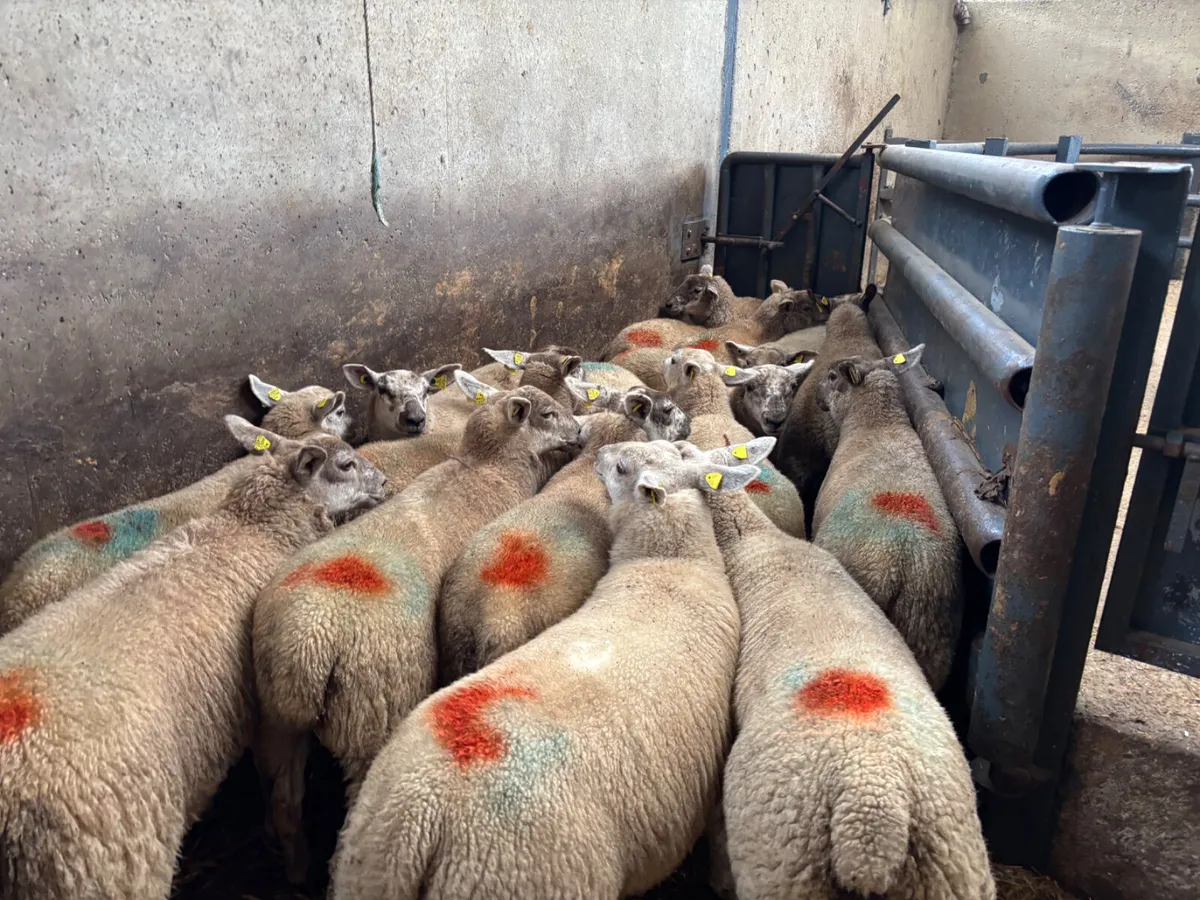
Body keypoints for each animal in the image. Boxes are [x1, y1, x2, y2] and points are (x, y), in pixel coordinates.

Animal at [0, 417, 386, 900]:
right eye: (346, 464)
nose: (385, 482)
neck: (255, 529)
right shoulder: (274, 709)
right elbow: (285, 794)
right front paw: (297, 865)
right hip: (101, 869)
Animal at [251, 374, 582, 883]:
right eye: (548, 415)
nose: (582, 430)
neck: (488, 469)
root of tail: (310, 642)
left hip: (279, 712)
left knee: (285, 799)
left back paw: (295, 867)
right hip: (374, 708)